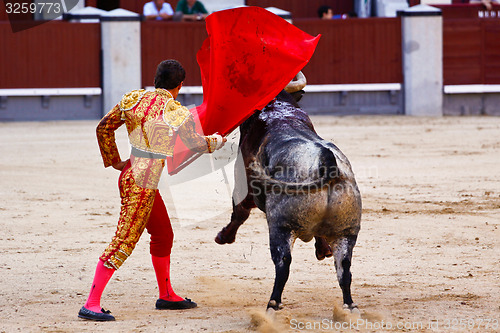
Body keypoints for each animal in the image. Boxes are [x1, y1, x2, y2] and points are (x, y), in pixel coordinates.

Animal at [214, 72, 360, 312]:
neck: (278, 110)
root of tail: (326, 161)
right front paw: (323, 250)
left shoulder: (244, 185)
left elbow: (239, 211)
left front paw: (224, 236)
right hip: (347, 231)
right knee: (344, 268)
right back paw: (349, 306)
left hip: (280, 228)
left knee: (283, 264)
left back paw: (272, 304)